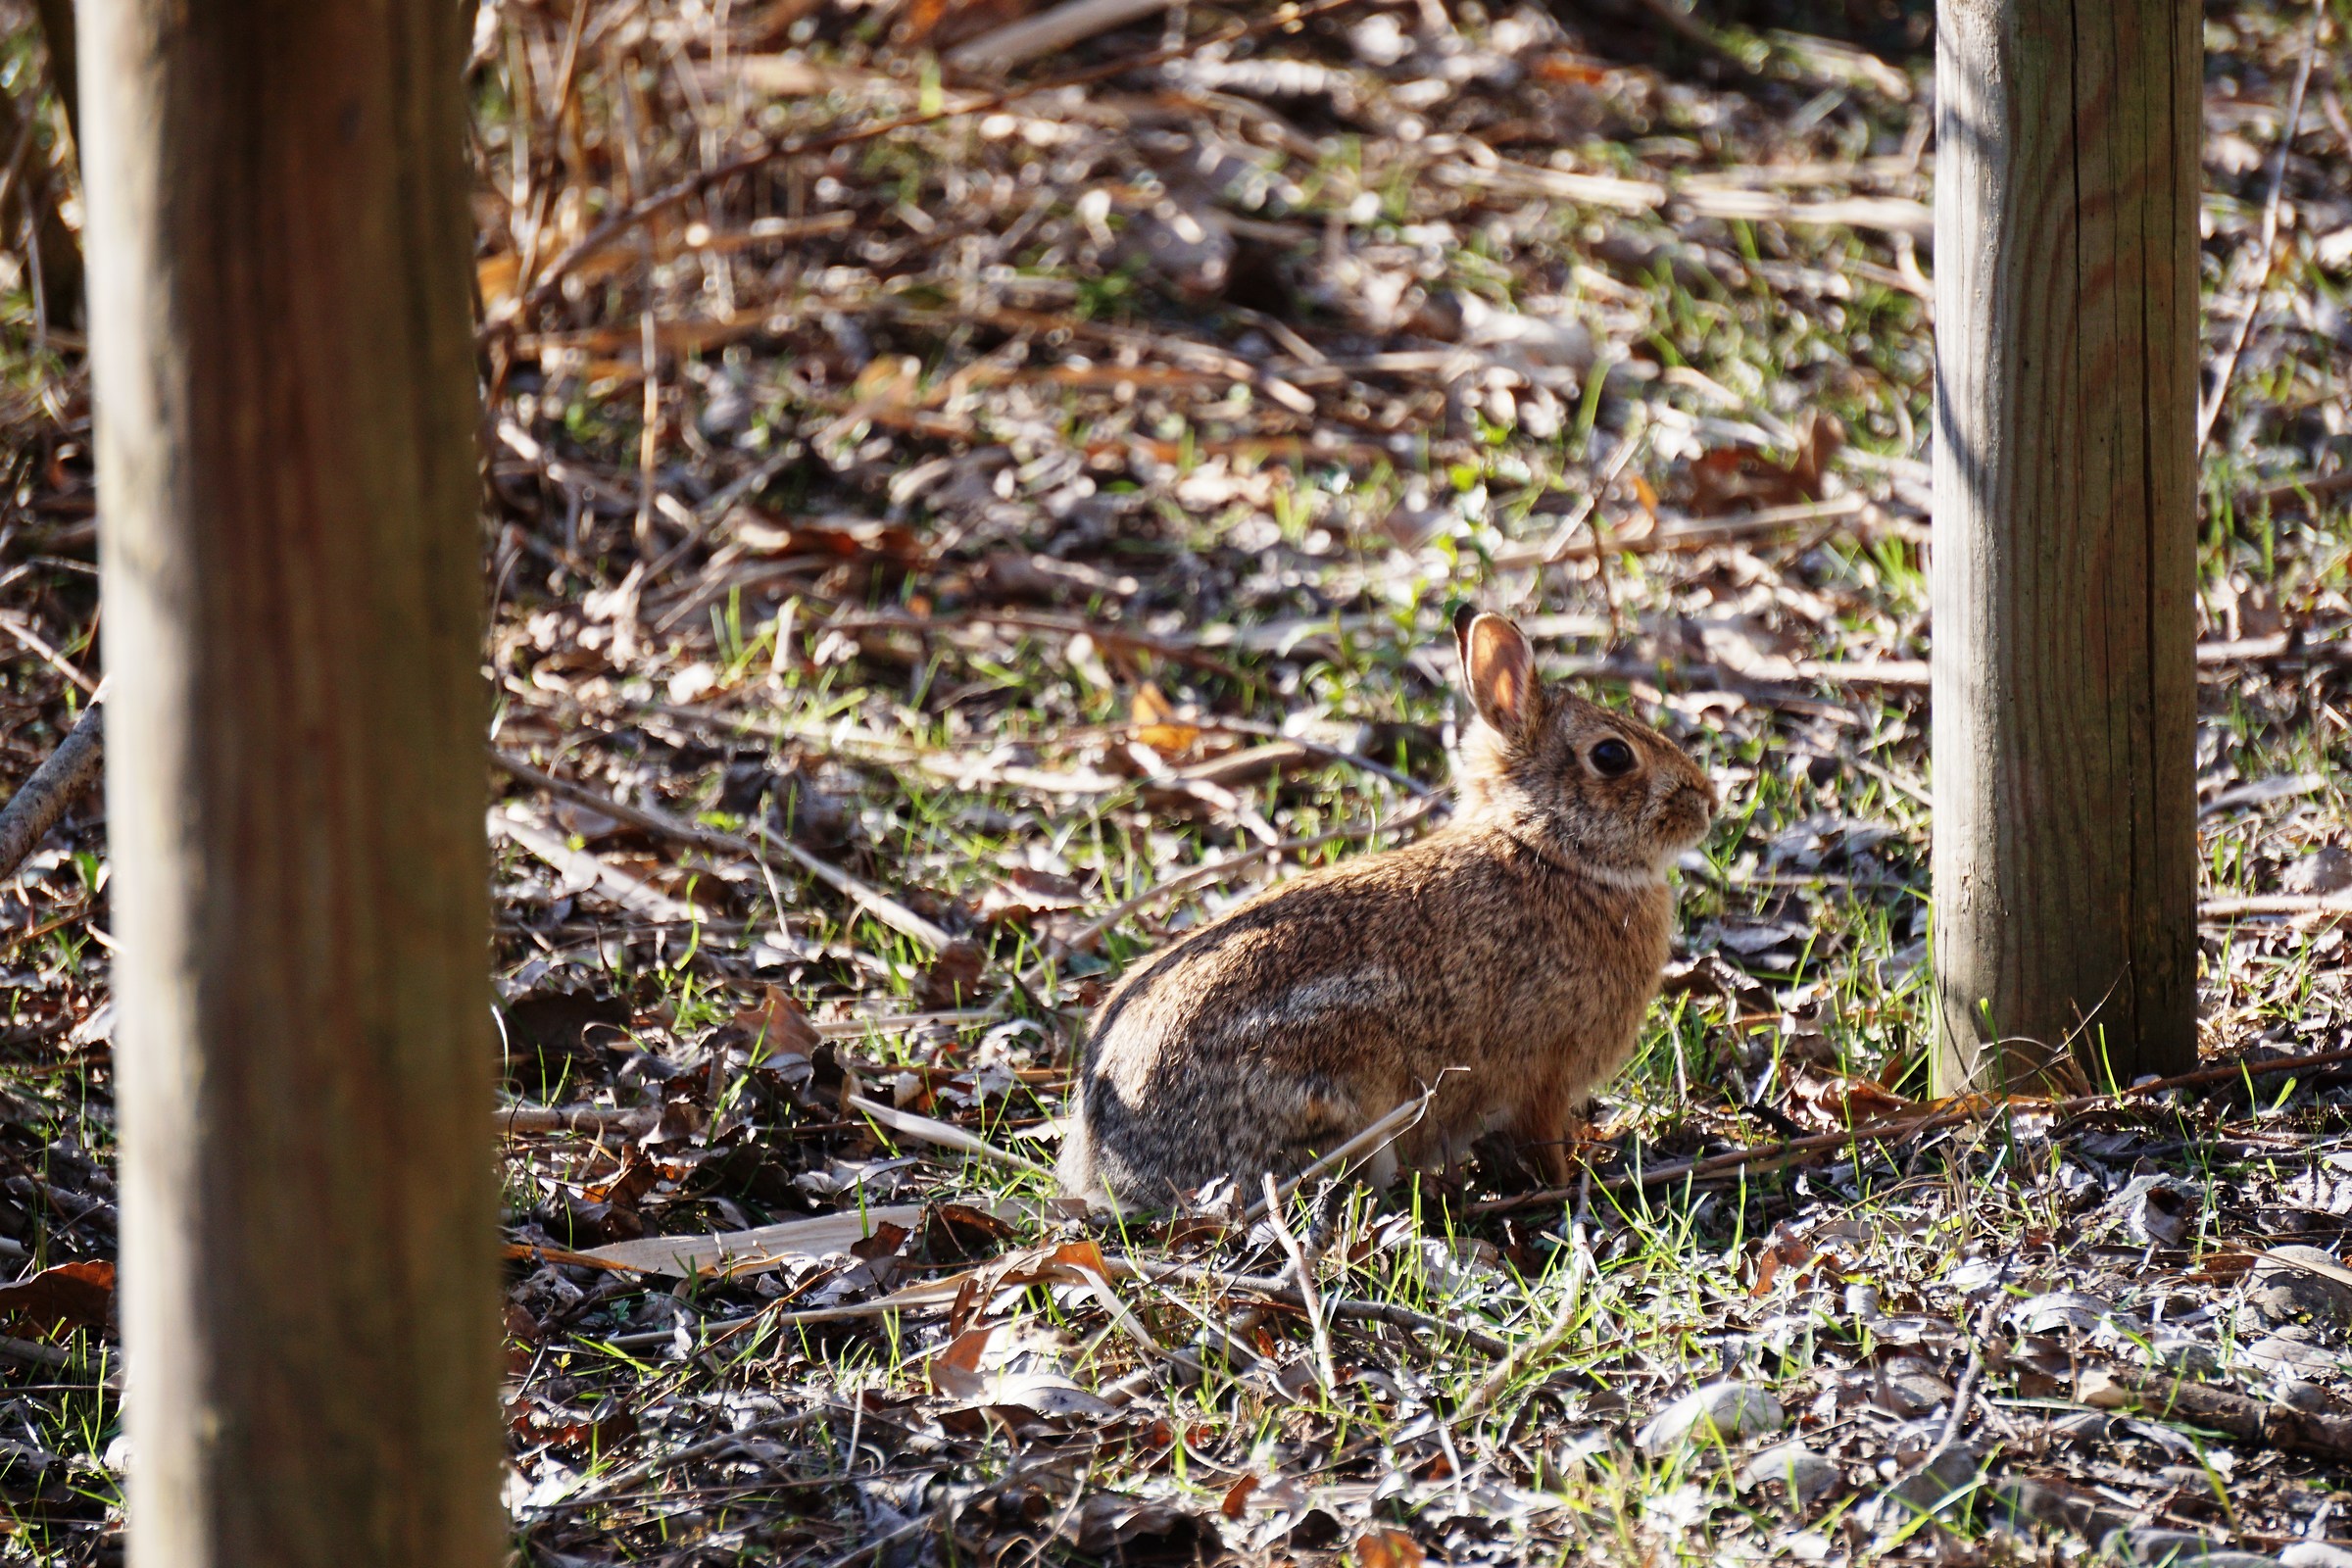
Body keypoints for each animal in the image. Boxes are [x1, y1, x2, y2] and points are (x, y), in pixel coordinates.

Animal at [1058, 607, 1717, 1208]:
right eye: (1612, 756)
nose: (1708, 802)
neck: (1544, 849)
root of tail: (1115, 1173)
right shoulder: (1545, 1074)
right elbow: (1545, 1140)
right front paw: (1573, 1179)